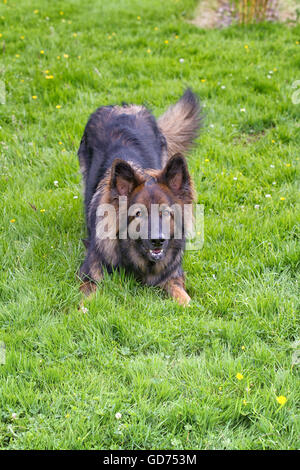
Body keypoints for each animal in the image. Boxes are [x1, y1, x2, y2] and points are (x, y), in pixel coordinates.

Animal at [78, 89, 203, 306]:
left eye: (166, 213)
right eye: (138, 214)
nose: (157, 241)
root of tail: (122, 107)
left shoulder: (173, 276)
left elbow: (183, 296)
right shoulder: (90, 274)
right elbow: (87, 298)